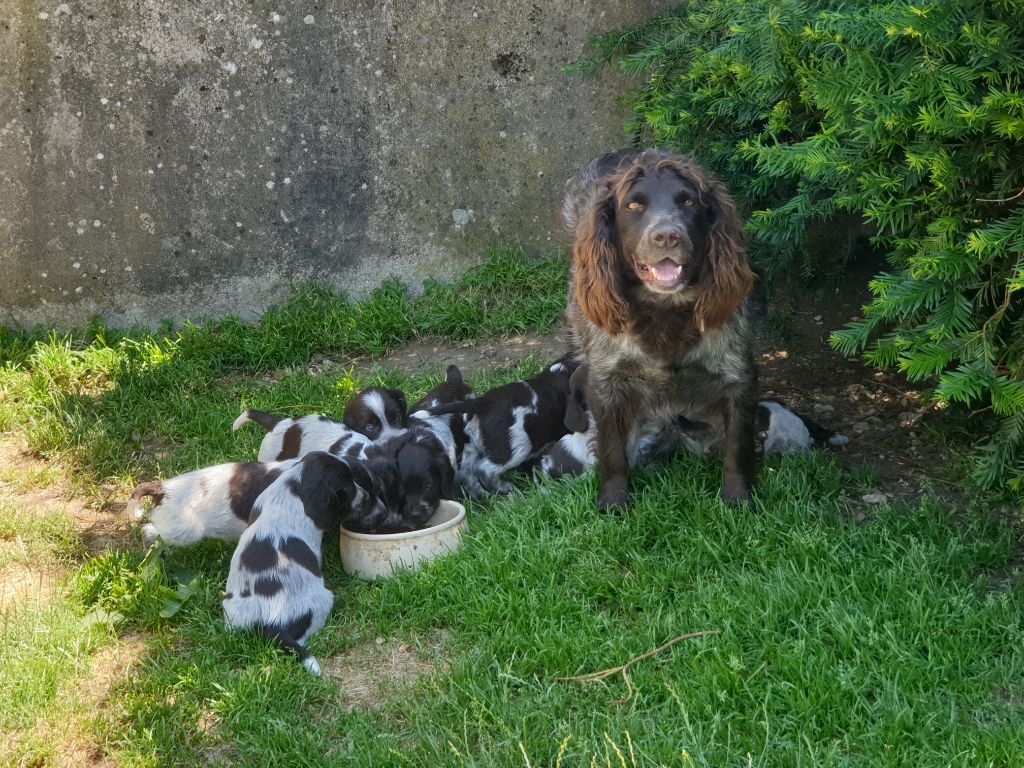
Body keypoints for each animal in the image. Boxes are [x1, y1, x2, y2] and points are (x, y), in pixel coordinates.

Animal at [561, 149, 761, 512]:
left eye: (688, 202)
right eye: (633, 206)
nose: (667, 236)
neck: (665, 309)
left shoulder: (738, 377)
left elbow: (737, 448)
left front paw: (738, 499)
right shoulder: (606, 382)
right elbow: (612, 450)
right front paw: (613, 501)